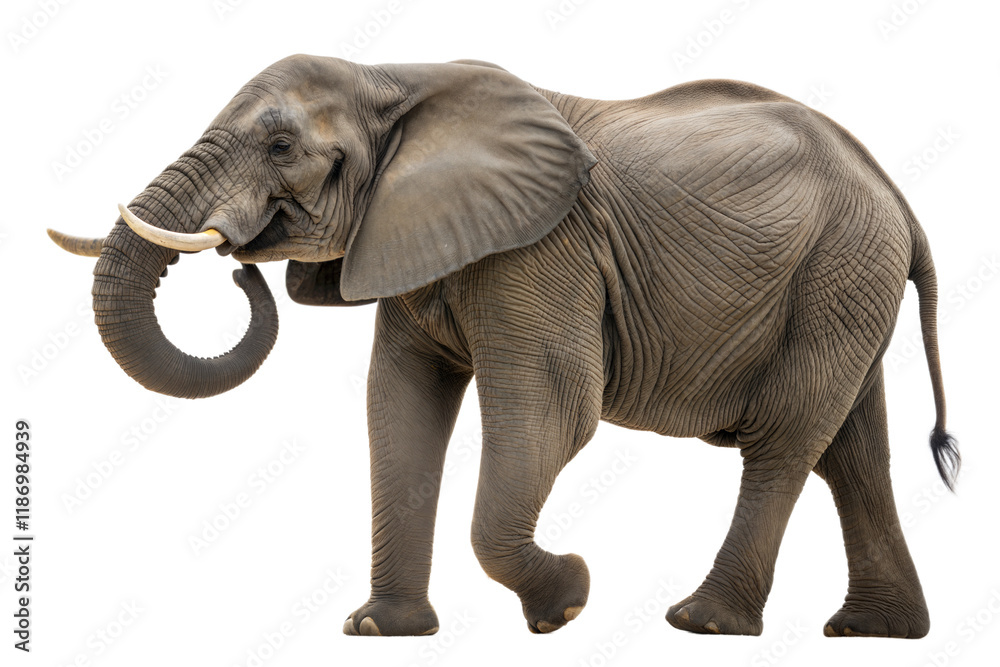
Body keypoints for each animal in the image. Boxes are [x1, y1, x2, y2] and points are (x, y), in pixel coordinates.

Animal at [50, 54, 960, 638]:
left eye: (281, 147)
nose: (243, 269)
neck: (396, 80)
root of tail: (903, 202)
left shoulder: (541, 252)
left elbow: (551, 408)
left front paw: (566, 602)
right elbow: (400, 409)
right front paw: (378, 628)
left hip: (838, 268)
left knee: (785, 441)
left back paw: (703, 621)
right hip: (846, 283)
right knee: (852, 450)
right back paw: (874, 630)